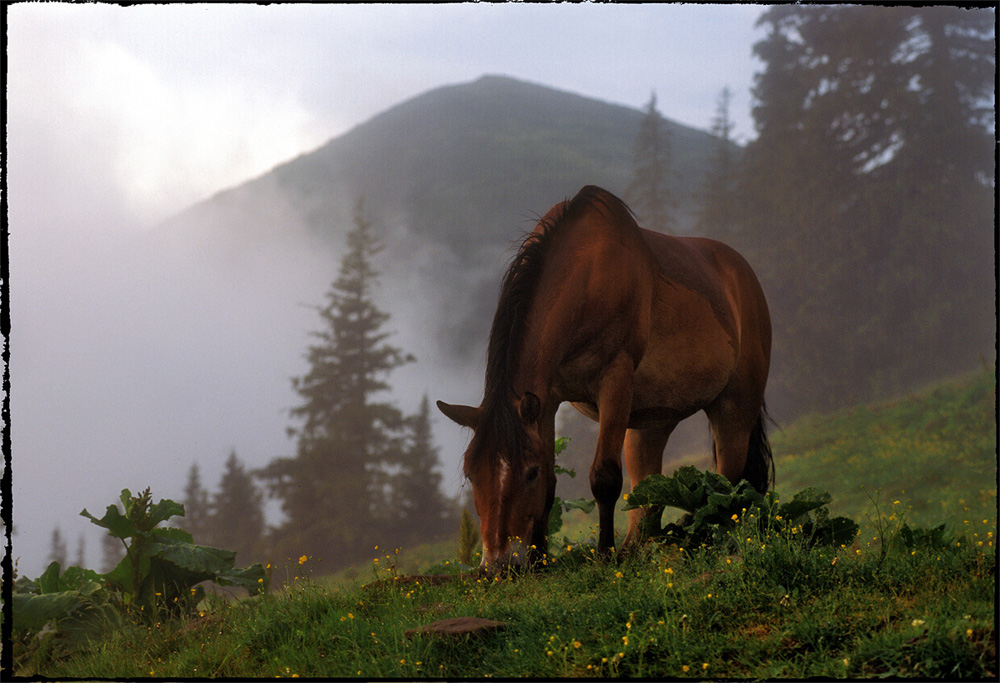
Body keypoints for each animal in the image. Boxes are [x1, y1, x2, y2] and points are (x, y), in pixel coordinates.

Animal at [438, 186, 772, 572]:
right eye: (471, 474)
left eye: (528, 473)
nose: (497, 565)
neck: (589, 277)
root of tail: (744, 277)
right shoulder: (546, 401)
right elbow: (554, 484)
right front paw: (540, 561)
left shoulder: (614, 383)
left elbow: (604, 477)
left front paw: (604, 555)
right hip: (650, 426)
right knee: (648, 494)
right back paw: (635, 553)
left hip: (734, 409)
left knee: (728, 482)